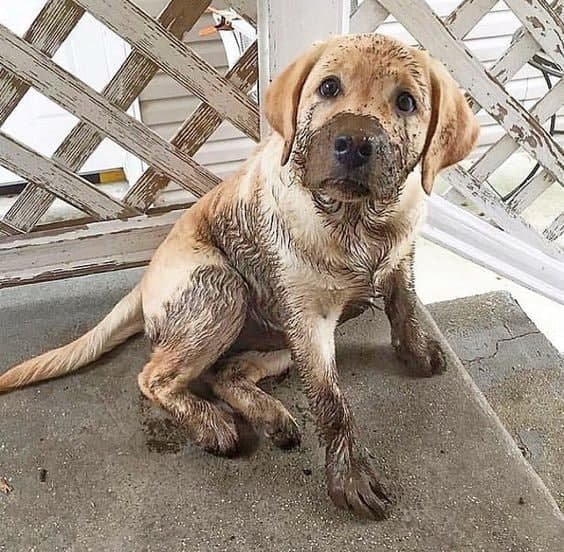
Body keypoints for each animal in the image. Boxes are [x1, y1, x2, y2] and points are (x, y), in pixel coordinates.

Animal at [0, 33, 478, 516]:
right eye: (328, 87)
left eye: (406, 102)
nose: (355, 144)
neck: (357, 220)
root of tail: (144, 283)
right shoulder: (311, 320)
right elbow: (331, 403)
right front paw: (350, 477)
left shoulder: (400, 258)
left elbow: (404, 304)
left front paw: (416, 351)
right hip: (222, 291)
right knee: (155, 377)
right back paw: (212, 424)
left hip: (280, 336)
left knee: (224, 372)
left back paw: (270, 416)